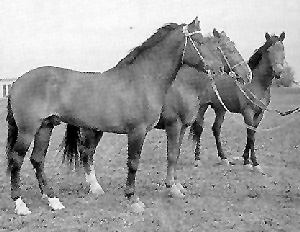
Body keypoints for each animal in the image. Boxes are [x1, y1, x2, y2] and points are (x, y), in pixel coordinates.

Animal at [5, 17, 221, 215]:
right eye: (200, 41)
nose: (218, 68)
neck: (142, 80)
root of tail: (16, 83)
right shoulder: (137, 132)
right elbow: (133, 163)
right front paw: (133, 199)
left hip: (45, 127)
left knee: (37, 159)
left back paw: (52, 200)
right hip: (28, 130)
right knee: (17, 159)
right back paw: (20, 205)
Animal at [60, 28, 251, 199]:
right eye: (228, 48)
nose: (247, 74)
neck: (185, 85)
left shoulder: (182, 127)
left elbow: (176, 153)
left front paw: (177, 185)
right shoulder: (173, 125)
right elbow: (171, 155)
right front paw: (172, 188)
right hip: (91, 130)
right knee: (86, 153)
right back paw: (95, 187)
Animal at [191, 30, 288, 172]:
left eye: (282, 49)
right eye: (269, 50)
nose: (279, 72)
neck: (255, 84)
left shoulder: (260, 114)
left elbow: (252, 133)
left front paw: (246, 159)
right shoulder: (248, 112)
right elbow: (250, 135)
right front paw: (254, 163)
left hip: (220, 109)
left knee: (216, 129)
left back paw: (223, 158)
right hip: (203, 107)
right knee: (199, 128)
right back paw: (197, 159)